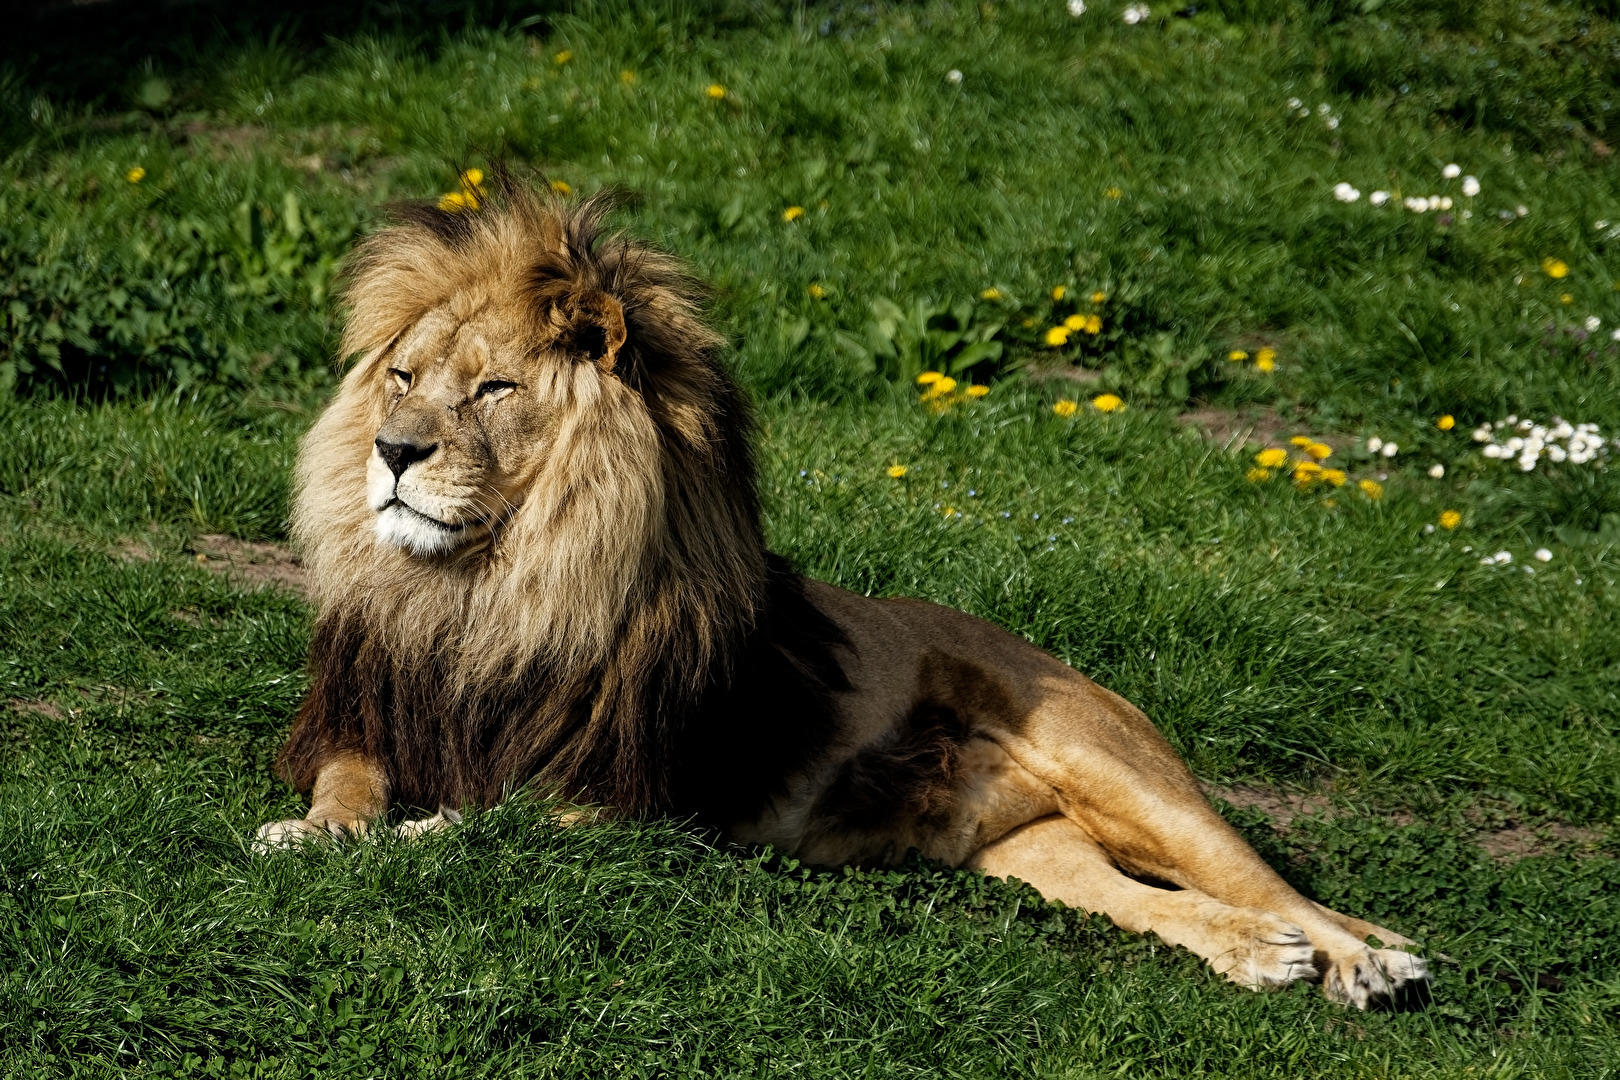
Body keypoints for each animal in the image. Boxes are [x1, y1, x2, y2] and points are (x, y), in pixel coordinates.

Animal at [256, 179, 1430, 1009]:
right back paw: (1265, 958)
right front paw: (315, 833)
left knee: (1268, 881)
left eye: (495, 387)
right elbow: (353, 787)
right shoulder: (365, 715)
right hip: (1038, 850)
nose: (392, 452)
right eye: (403, 378)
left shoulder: (626, 800)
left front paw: (387, 838)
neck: (483, 590)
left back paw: (1366, 962)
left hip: (1125, 774)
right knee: (1163, 905)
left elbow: (481, 822)